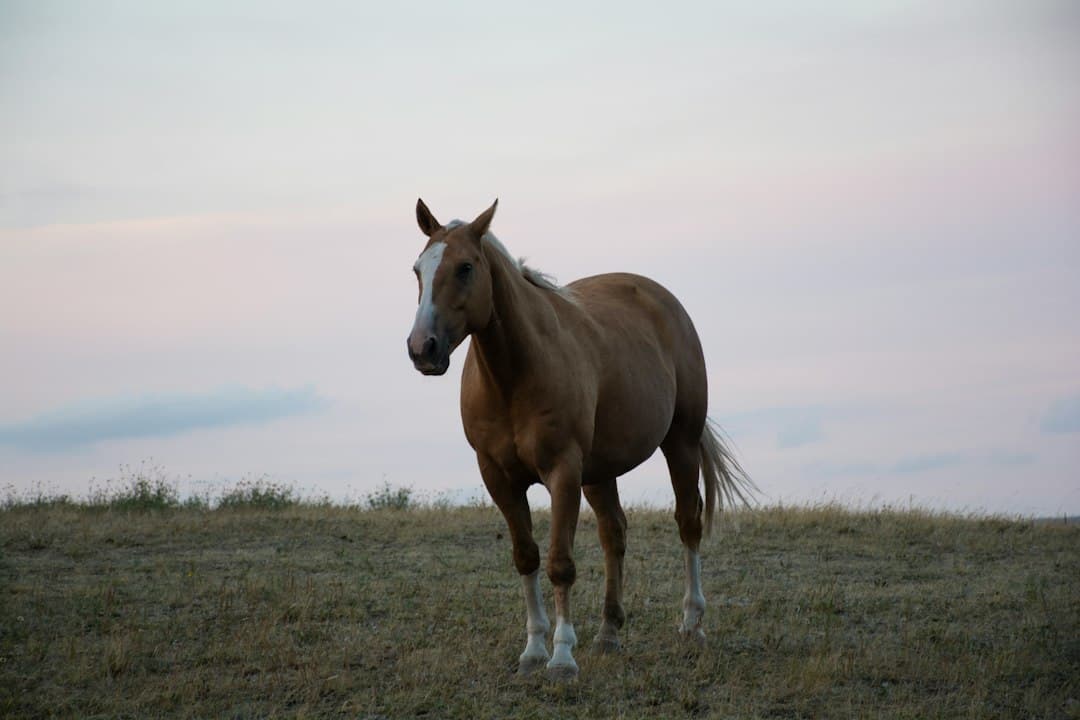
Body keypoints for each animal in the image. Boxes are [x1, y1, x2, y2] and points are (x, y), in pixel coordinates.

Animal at [406, 198, 753, 680]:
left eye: (465, 267)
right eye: (417, 269)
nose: (423, 348)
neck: (514, 376)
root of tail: (665, 302)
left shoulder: (563, 472)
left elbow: (561, 564)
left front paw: (562, 655)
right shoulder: (498, 477)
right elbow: (527, 556)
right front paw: (534, 649)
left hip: (680, 443)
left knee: (688, 523)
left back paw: (692, 623)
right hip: (600, 472)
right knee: (614, 535)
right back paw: (609, 632)